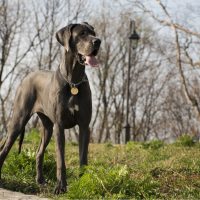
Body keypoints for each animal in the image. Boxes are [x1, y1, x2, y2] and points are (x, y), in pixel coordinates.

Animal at [0, 21, 101, 194]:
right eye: (82, 33)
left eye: (93, 33)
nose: (98, 41)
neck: (73, 81)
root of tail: (27, 76)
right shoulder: (59, 126)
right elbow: (60, 159)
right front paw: (61, 187)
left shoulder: (84, 126)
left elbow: (83, 157)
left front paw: (83, 183)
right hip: (18, 121)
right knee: (5, 149)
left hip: (47, 127)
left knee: (39, 153)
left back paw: (40, 180)